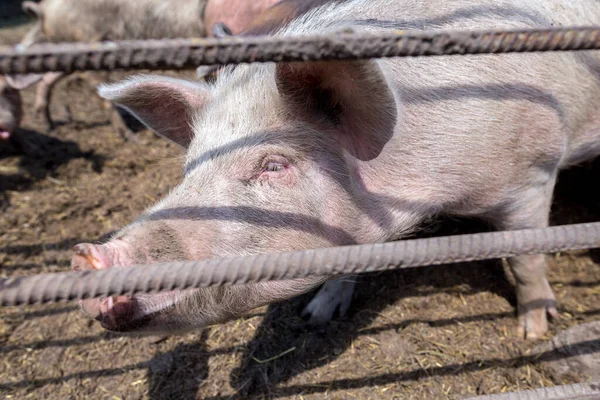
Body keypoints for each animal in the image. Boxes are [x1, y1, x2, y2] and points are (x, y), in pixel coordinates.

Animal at [70, 0, 600, 340]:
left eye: (274, 164)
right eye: (190, 166)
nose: (88, 256)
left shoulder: (531, 175)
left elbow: (527, 259)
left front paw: (533, 332)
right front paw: (316, 315)